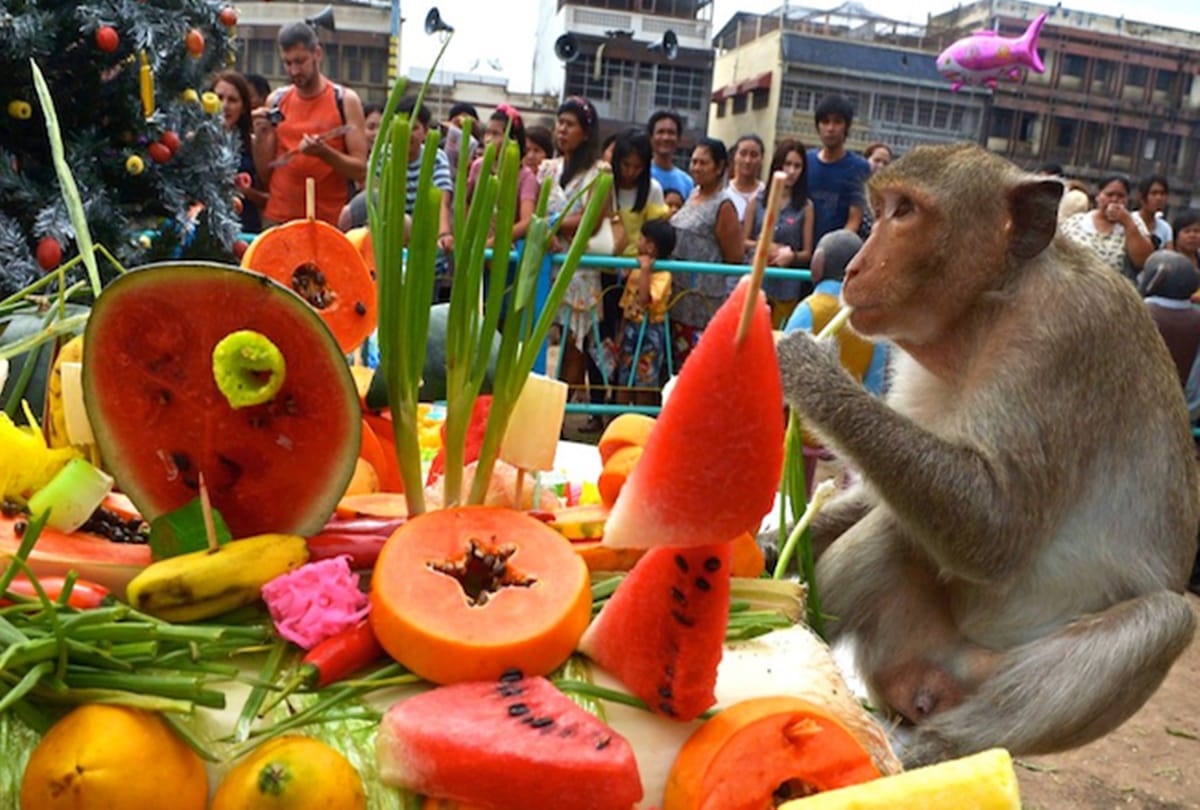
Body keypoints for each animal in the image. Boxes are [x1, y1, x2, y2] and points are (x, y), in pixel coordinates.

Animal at [774, 143, 1199, 767]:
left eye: (905, 212)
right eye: (880, 209)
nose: (851, 270)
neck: (986, 310)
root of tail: (936, 685)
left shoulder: (1062, 339)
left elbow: (995, 528)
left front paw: (810, 371)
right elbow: (887, 498)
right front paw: (768, 546)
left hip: (987, 683)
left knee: (1164, 621)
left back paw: (927, 749)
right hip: (908, 651)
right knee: (897, 530)